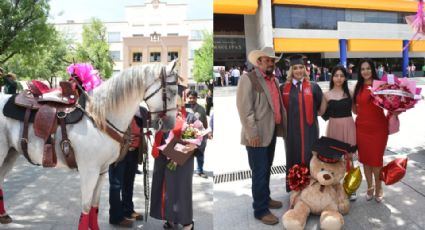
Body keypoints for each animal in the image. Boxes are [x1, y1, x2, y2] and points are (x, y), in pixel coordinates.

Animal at [0, 60, 177, 229]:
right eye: (172, 91)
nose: (170, 124)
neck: (99, 116)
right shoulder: (89, 171)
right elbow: (86, 207)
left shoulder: (102, 171)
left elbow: (94, 206)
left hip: (11, 154)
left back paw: (4, 216)